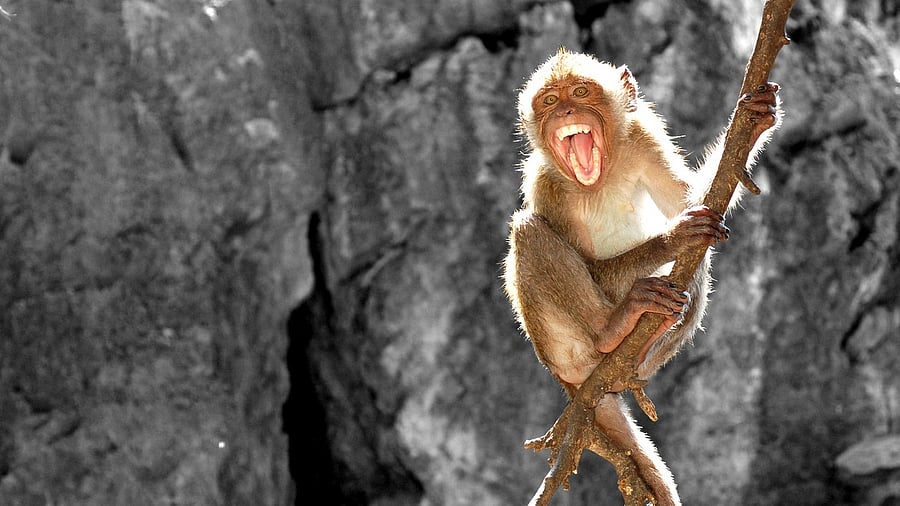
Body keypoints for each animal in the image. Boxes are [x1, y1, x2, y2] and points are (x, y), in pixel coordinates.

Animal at [502, 49, 780, 505]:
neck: (601, 175)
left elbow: (689, 198)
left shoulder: (642, 138)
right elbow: (591, 262)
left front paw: (754, 120)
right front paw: (670, 238)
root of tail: (577, 383)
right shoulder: (545, 183)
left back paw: (649, 336)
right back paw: (612, 327)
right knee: (528, 231)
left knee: (700, 263)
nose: (565, 111)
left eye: (581, 93)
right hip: (561, 347)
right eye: (549, 102)